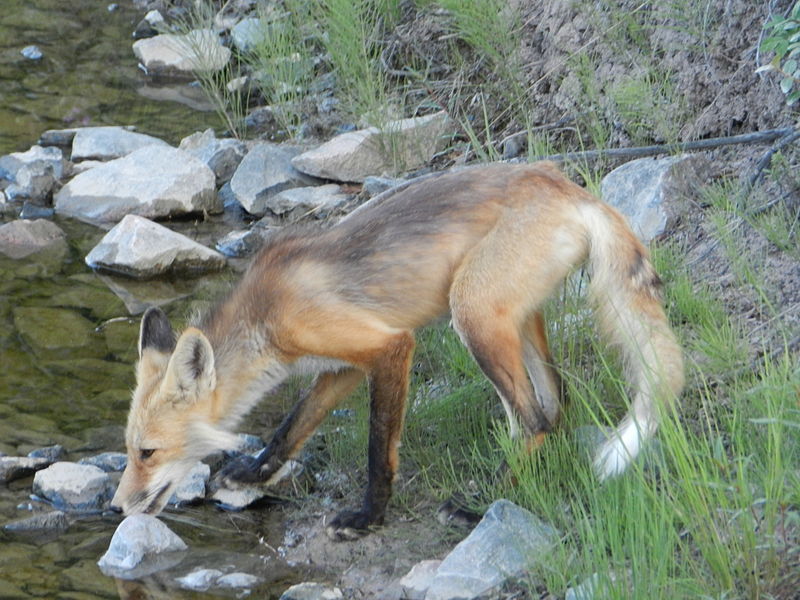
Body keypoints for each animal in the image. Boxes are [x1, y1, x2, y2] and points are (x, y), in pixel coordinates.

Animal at [110, 162, 684, 540]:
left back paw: (482, 506)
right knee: (556, 402)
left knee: (535, 418)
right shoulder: (340, 365)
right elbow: (291, 426)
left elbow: (377, 448)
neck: (263, 316)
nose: (116, 508)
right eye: (130, 451)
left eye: (147, 453)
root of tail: (569, 187)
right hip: (514, 322)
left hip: (471, 314)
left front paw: (368, 518)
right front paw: (255, 473)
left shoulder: (388, 347)